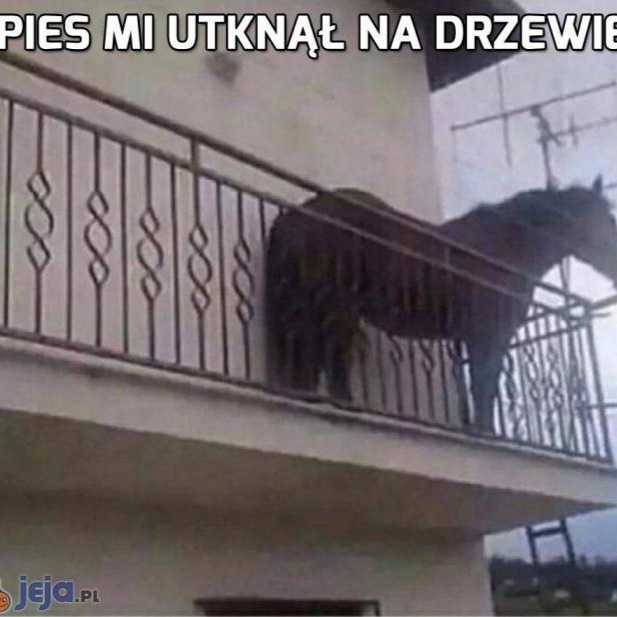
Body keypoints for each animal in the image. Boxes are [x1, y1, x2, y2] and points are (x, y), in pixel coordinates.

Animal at [265, 177, 617, 432]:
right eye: (603, 221)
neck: (504, 249)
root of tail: (296, 214)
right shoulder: (489, 335)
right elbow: (485, 383)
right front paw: (485, 432)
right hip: (337, 309)